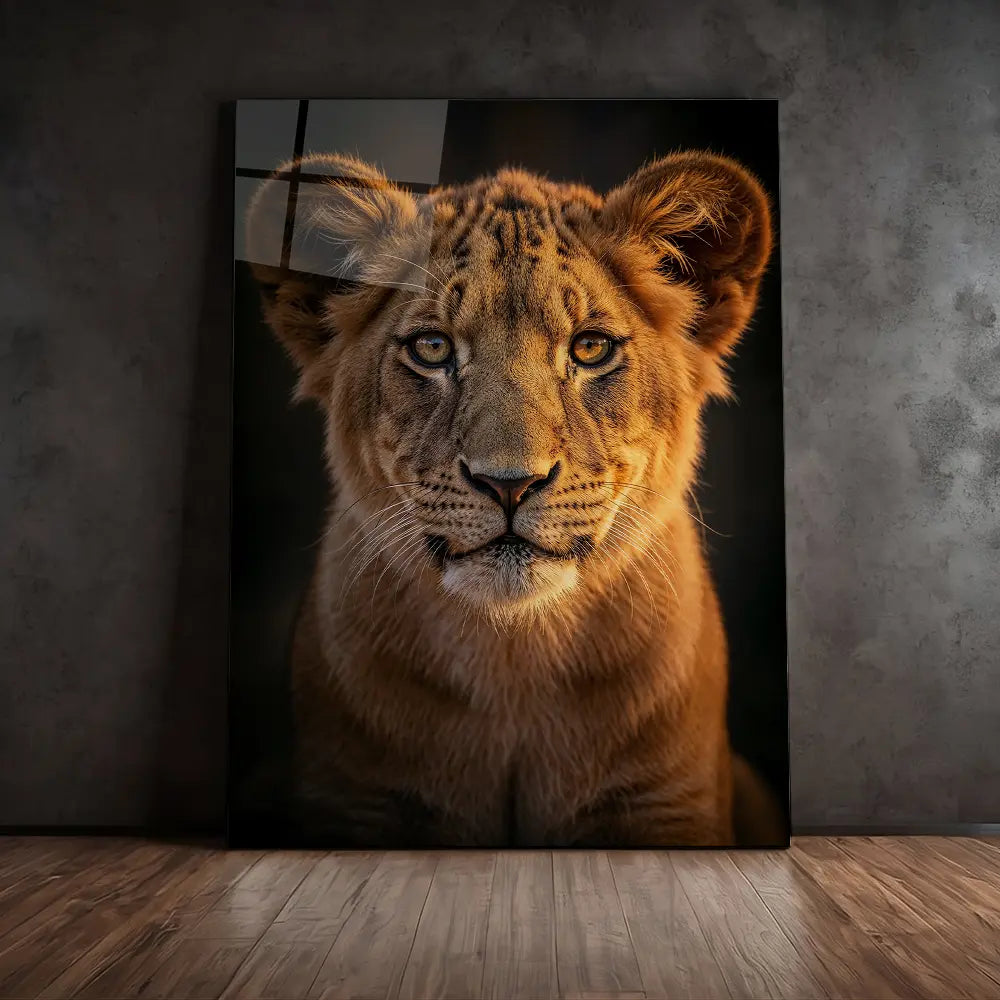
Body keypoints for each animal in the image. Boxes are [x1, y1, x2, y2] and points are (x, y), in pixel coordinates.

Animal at [244, 148, 786, 846]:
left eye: (589, 348)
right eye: (432, 348)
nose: (509, 483)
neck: (513, 659)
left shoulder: (662, 801)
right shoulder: (357, 796)